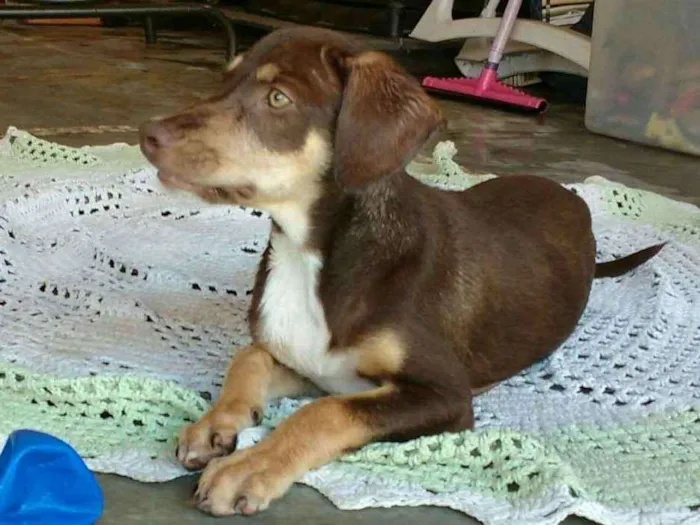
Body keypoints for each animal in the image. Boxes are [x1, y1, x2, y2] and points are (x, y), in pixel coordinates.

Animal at [139, 26, 664, 512]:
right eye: (224, 81)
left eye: (278, 98)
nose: (148, 136)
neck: (312, 256)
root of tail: (573, 199)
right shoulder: (311, 360)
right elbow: (248, 357)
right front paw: (214, 424)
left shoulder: (444, 394)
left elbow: (325, 413)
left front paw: (248, 468)